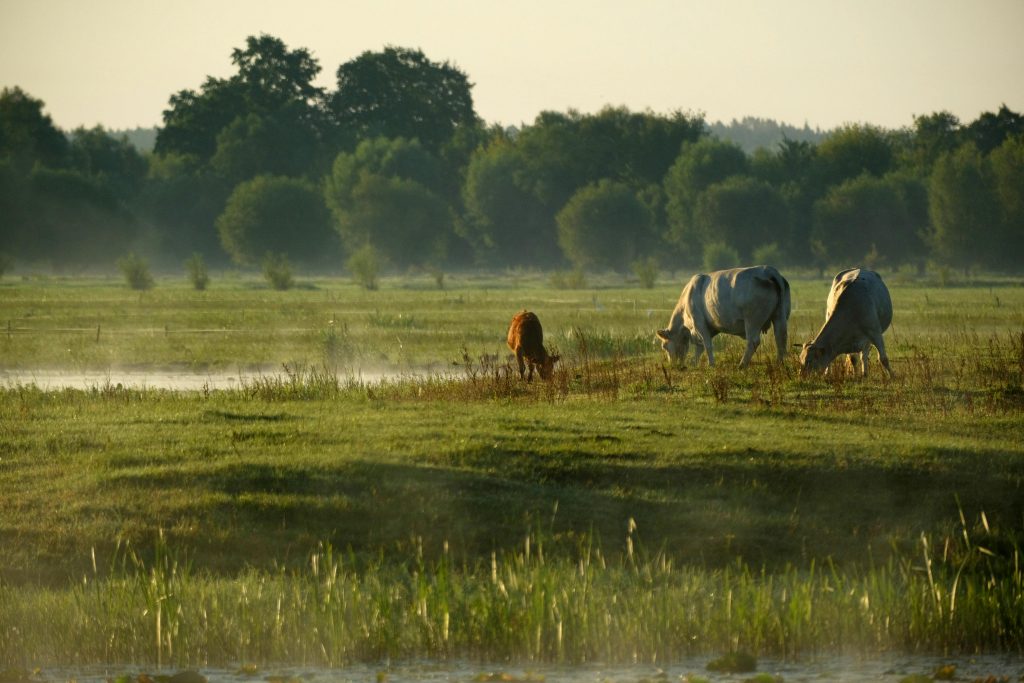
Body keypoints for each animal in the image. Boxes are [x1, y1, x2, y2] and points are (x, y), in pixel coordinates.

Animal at [656, 265, 791, 368]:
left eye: (664, 346)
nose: (673, 365)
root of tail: (768, 270)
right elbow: (700, 347)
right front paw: (694, 363)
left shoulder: (699, 324)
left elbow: (707, 345)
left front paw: (711, 364)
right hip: (779, 316)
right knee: (780, 337)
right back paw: (779, 363)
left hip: (752, 320)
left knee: (753, 341)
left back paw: (742, 364)